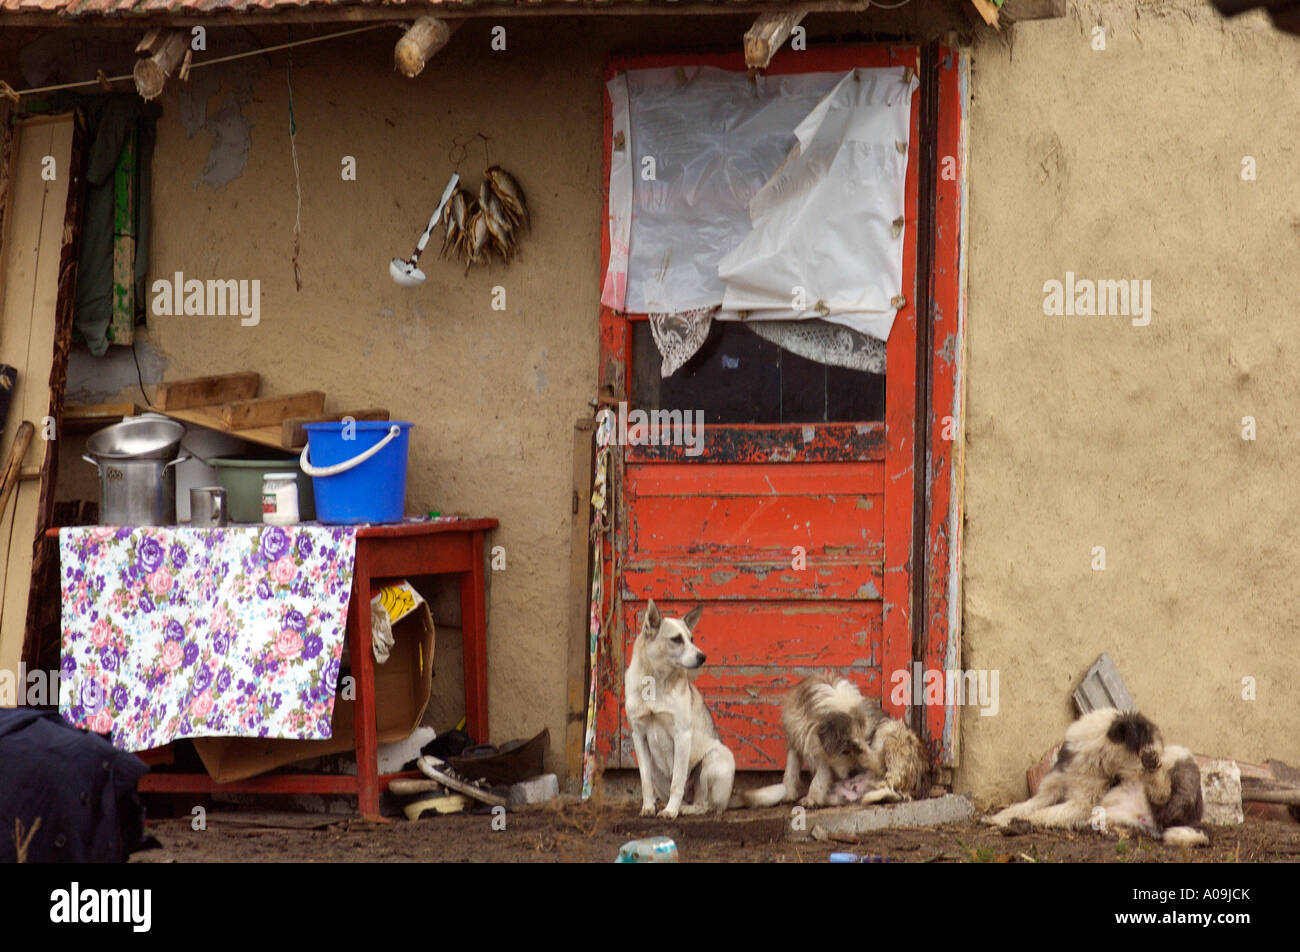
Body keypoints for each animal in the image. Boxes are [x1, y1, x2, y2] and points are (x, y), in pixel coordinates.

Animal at [743, 671, 935, 806]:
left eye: (868, 740)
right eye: (845, 750)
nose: (852, 774)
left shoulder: (824, 754)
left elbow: (820, 775)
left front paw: (811, 799)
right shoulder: (796, 737)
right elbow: (791, 769)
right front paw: (790, 793)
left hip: (890, 735)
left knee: (890, 780)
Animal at [982, 707, 1206, 847]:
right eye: (1150, 744)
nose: (1156, 758)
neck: (1093, 756)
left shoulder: (1083, 803)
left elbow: (1043, 813)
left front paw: (1023, 821)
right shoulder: (1048, 792)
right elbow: (1024, 806)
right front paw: (997, 818)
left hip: (1180, 763)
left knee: (1162, 798)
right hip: (1115, 816)